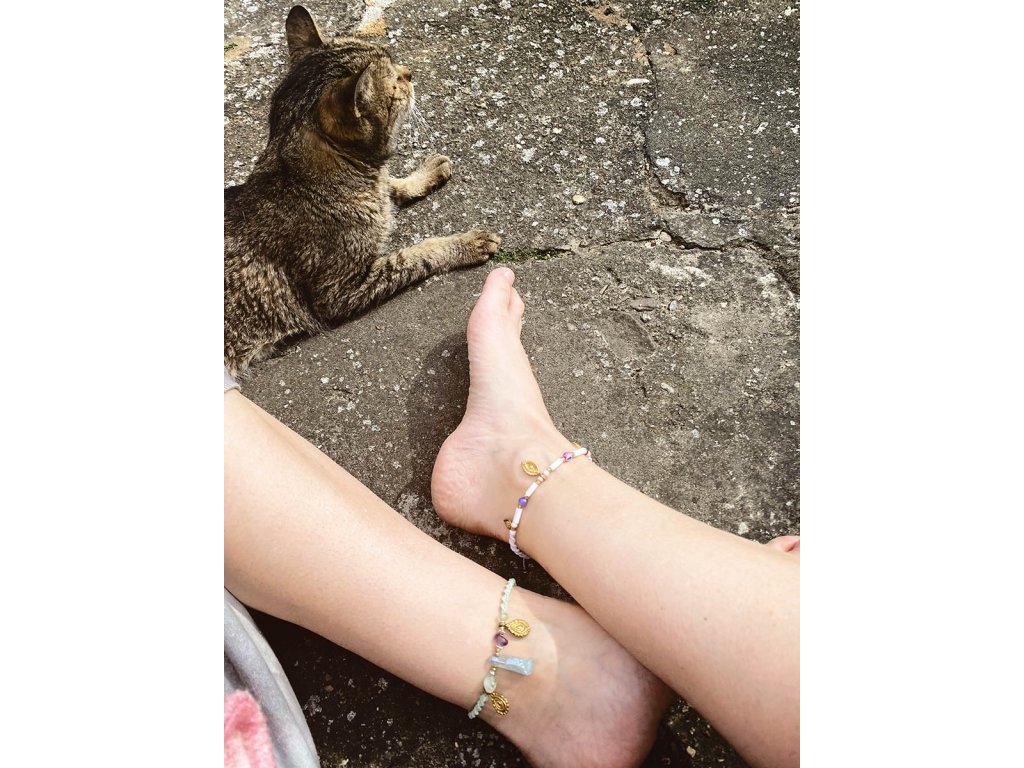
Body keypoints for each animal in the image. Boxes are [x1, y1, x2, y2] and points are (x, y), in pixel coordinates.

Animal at [224, 5, 501, 375]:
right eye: (395, 82)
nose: (410, 73)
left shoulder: (380, 189)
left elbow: (393, 186)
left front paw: (424, 173)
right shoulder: (339, 293)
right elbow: (415, 254)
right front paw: (466, 243)